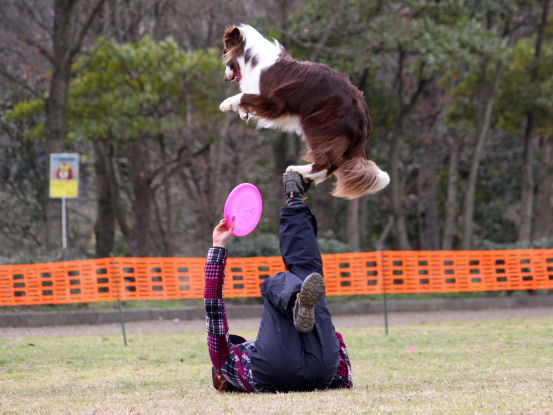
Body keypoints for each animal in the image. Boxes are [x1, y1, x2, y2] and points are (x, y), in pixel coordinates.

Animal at [220, 24, 388, 200]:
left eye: (225, 52)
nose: (225, 78)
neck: (253, 58)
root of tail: (364, 117)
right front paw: (243, 113)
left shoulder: (273, 102)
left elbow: (243, 95)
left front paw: (226, 104)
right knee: (332, 165)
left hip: (317, 122)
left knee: (327, 162)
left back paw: (298, 168)